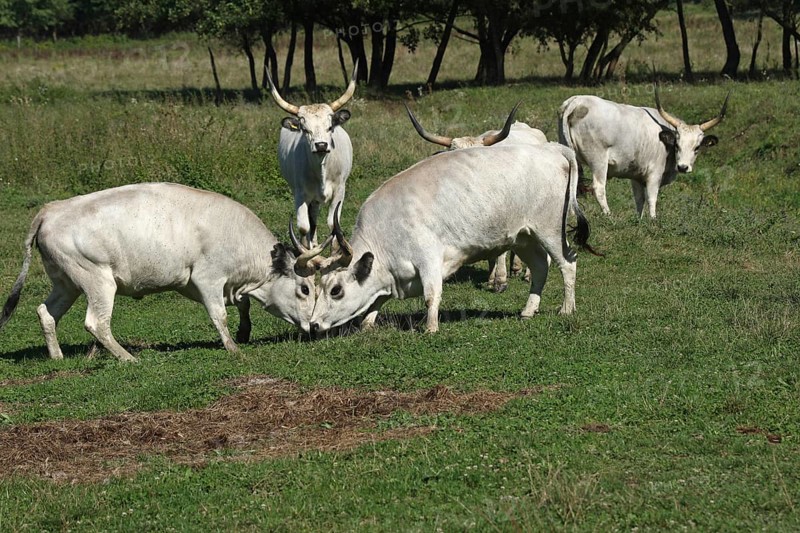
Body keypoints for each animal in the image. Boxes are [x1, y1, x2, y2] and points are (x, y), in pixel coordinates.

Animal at [0, 183, 316, 362]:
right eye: (305, 289)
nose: (315, 328)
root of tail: (50, 210)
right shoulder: (207, 279)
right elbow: (220, 315)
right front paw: (233, 348)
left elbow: (243, 304)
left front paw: (244, 332)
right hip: (98, 282)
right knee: (97, 323)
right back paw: (128, 358)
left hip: (66, 284)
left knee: (46, 312)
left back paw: (57, 357)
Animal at [265, 62, 358, 247]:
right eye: (305, 129)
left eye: (329, 127)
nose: (321, 145)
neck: (322, 169)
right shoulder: (300, 193)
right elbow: (303, 227)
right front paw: (306, 250)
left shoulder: (340, 190)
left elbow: (333, 224)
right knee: (312, 217)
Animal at [297, 141, 598, 336]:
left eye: (336, 290)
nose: (313, 325)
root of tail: (552, 149)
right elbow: (376, 300)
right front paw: (367, 323)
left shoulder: (428, 257)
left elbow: (432, 294)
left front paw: (430, 327)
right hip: (524, 237)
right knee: (540, 269)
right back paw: (528, 310)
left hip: (549, 229)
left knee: (567, 264)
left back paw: (566, 309)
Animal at [559, 87, 729, 218]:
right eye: (677, 144)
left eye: (697, 147)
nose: (683, 167)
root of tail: (578, 101)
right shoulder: (654, 174)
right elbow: (652, 198)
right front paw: (653, 220)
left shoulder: (636, 176)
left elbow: (639, 200)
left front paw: (639, 220)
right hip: (598, 159)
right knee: (598, 187)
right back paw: (608, 215)